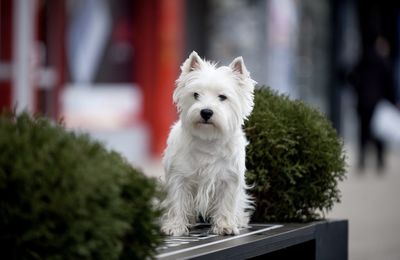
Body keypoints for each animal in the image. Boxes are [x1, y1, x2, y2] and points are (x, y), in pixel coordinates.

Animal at [160, 50, 256, 236]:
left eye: (223, 97)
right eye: (196, 95)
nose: (206, 112)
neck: (208, 140)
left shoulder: (228, 179)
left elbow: (226, 203)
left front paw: (225, 226)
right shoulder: (179, 177)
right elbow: (177, 201)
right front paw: (175, 226)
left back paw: (239, 220)